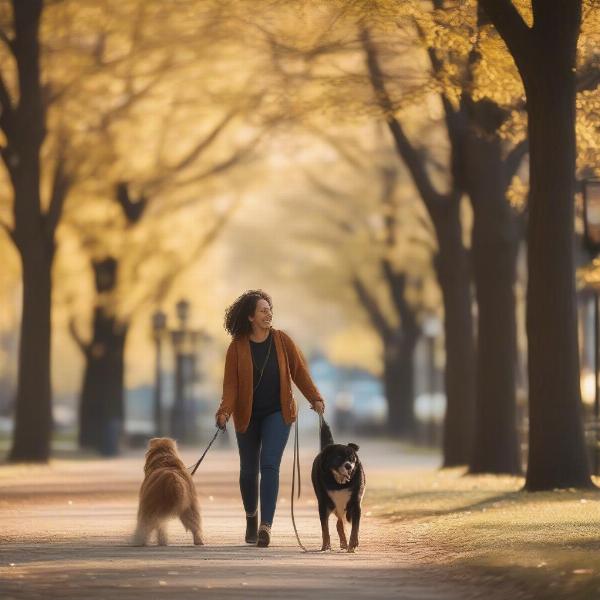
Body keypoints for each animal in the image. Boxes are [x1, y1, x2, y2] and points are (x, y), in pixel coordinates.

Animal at [312, 418, 364, 552]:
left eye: (352, 458)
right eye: (338, 457)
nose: (348, 466)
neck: (340, 483)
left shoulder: (355, 504)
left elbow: (355, 527)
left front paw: (353, 543)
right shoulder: (323, 504)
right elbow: (325, 528)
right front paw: (326, 545)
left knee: (340, 523)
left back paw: (345, 543)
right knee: (338, 524)